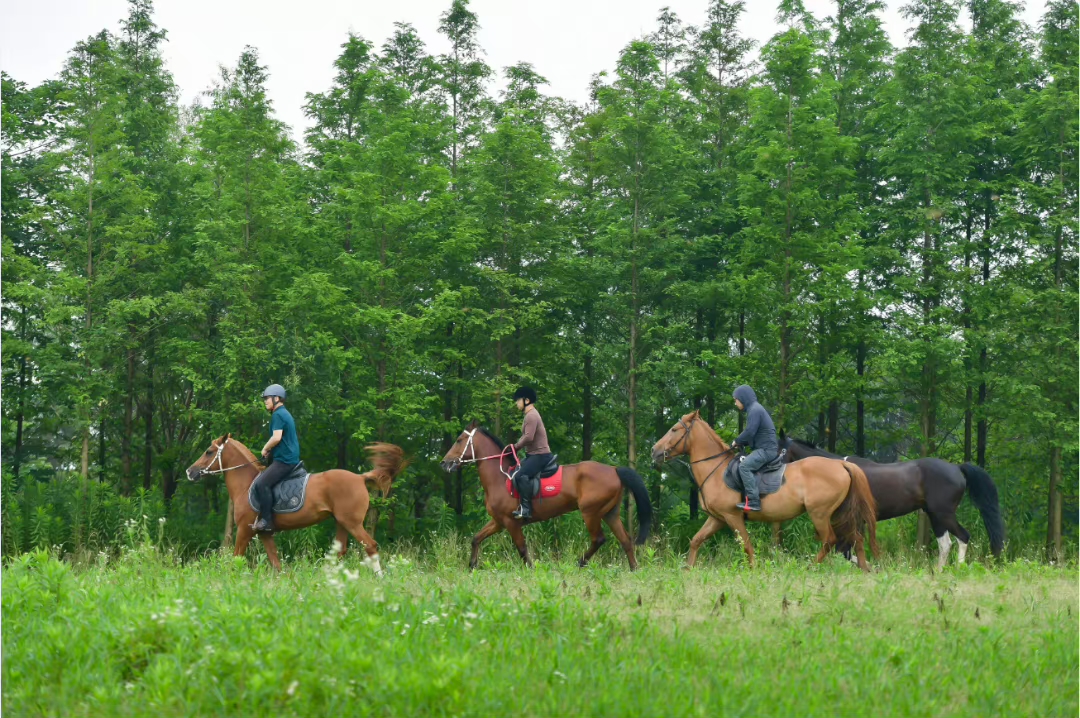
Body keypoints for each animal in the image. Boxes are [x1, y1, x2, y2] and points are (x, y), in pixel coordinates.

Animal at [185, 431, 406, 570]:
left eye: (208, 452)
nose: (190, 472)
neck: (246, 484)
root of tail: (360, 477)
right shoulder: (264, 533)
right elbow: (276, 564)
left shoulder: (244, 530)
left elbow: (236, 558)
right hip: (341, 523)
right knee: (341, 551)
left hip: (352, 523)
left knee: (370, 546)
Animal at [440, 421, 656, 570]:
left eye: (459, 440)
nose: (444, 463)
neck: (499, 478)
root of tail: (614, 469)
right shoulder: (499, 522)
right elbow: (476, 538)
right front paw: (472, 566)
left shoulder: (511, 523)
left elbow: (522, 549)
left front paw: (531, 570)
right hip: (610, 513)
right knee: (625, 540)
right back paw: (634, 569)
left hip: (591, 513)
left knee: (599, 539)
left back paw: (580, 563)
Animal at [648, 408, 876, 570]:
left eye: (674, 430)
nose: (654, 450)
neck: (717, 470)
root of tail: (841, 465)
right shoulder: (717, 518)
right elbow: (696, 541)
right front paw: (687, 569)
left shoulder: (732, 517)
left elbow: (746, 546)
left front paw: (753, 570)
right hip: (841, 513)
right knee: (857, 538)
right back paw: (865, 570)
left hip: (820, 513)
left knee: (830, 540)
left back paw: (810, 568)